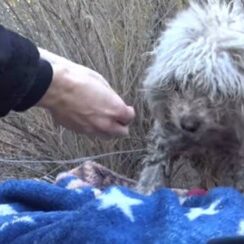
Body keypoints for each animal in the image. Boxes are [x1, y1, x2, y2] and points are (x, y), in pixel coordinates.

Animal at [135, 0, 244, 194]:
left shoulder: (234, 155)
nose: (188, 125)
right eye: (177, 84)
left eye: (216, 90)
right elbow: (153, 174)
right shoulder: (166, 140)